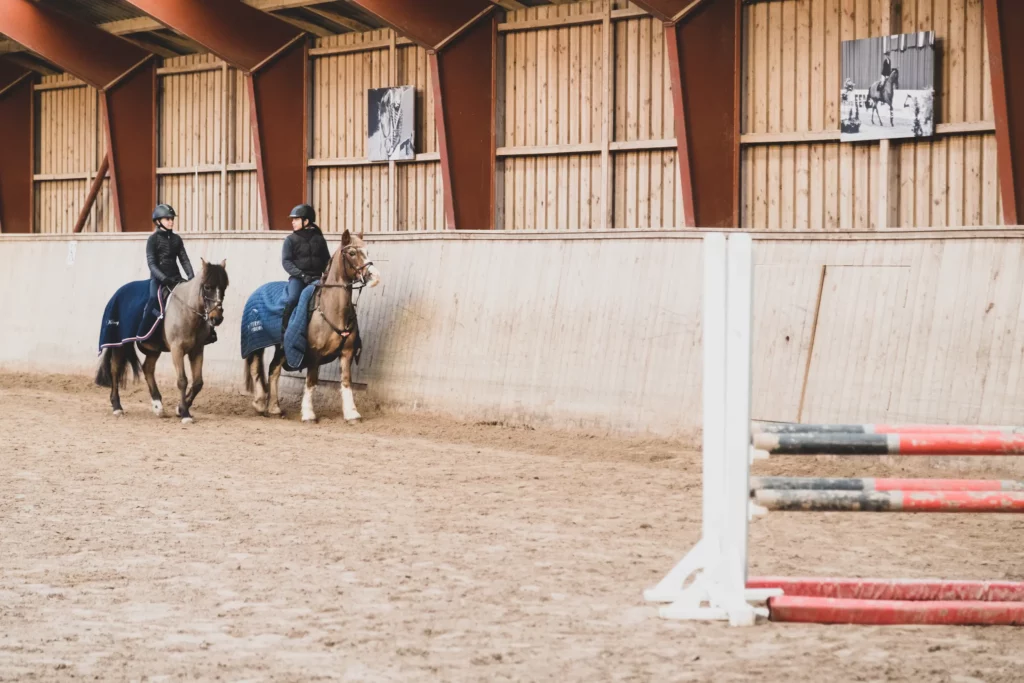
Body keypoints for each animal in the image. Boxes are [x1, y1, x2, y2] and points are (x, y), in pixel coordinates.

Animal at [96, 260, 230, 421]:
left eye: (224, 287)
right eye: (207, 287)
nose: (217, 318)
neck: (186, 311)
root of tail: (118, 292)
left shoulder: (197, 350)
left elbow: (198, 382)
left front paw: (180, 408)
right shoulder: (177, 349)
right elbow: (182, 380)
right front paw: (185, 413)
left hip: (154, 348)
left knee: (147, 368)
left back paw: (157, 406)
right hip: (119, 343)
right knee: (115, 369)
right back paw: (117, 407)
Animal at [243, 229, 380, 421]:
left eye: (367, 252)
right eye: (352, 253)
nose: (374, 276)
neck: (331, 309)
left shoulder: (346, 353)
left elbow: (346, 381)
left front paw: (352, 413)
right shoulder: (315, 353)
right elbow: (311, 381)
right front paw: (308, 413)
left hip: (281, 348)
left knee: (273, 369)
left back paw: (274, 408)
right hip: (257, 343)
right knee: (257, 369)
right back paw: (260, 403)